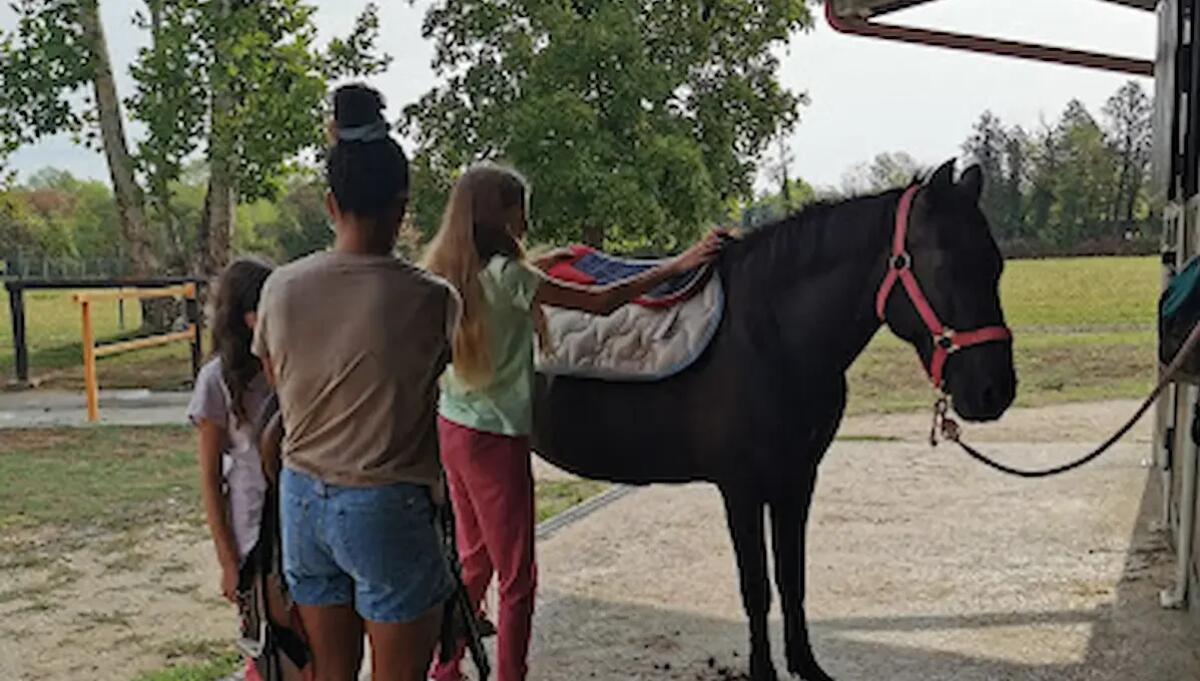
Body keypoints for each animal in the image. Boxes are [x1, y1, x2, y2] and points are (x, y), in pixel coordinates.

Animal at [532, 159, 1017, 681]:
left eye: (996, 265)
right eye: (947, 266)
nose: (995, 390)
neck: (771, 336)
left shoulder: (797, 479)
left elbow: (791, 578)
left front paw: (805, 664)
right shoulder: (741, 488)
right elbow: (756, 587)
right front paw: (763, 669)